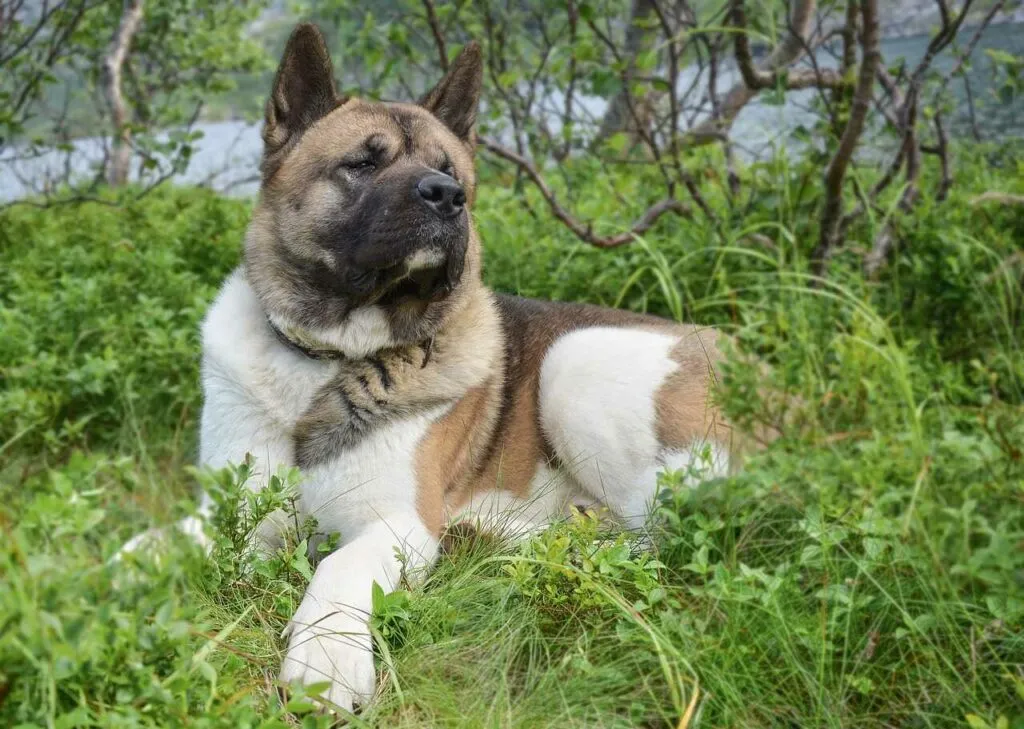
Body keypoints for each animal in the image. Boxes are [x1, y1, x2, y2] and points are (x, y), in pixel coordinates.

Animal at [130, 24, 753, 712]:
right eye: (362, 163)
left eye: (450, 170)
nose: (446, 195)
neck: (330, 355)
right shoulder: (235, 511)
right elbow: (149, 543)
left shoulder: (396, 521)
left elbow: (338, 565)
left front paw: (326, 658)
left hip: (577, 364)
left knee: (656, 542)